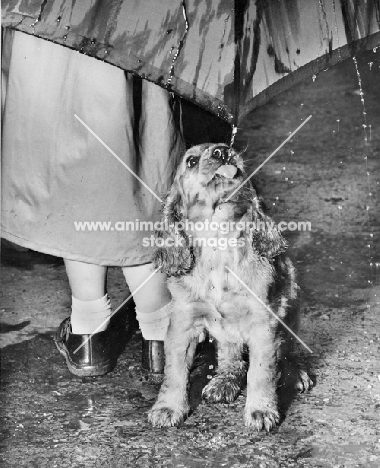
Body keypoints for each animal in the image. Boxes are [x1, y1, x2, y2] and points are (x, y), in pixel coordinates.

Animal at [148, 144, 312, 432]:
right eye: (191, 161)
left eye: (229, 149)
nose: (223, 152)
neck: (218, 244)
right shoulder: (182, 322)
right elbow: (174, 371)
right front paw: (167, 407)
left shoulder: (263, 323)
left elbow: (261, 370)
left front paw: (261, 410)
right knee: (230, 355)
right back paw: (224, 381)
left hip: (291, 300)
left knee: (286, 349)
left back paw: (296, 372)